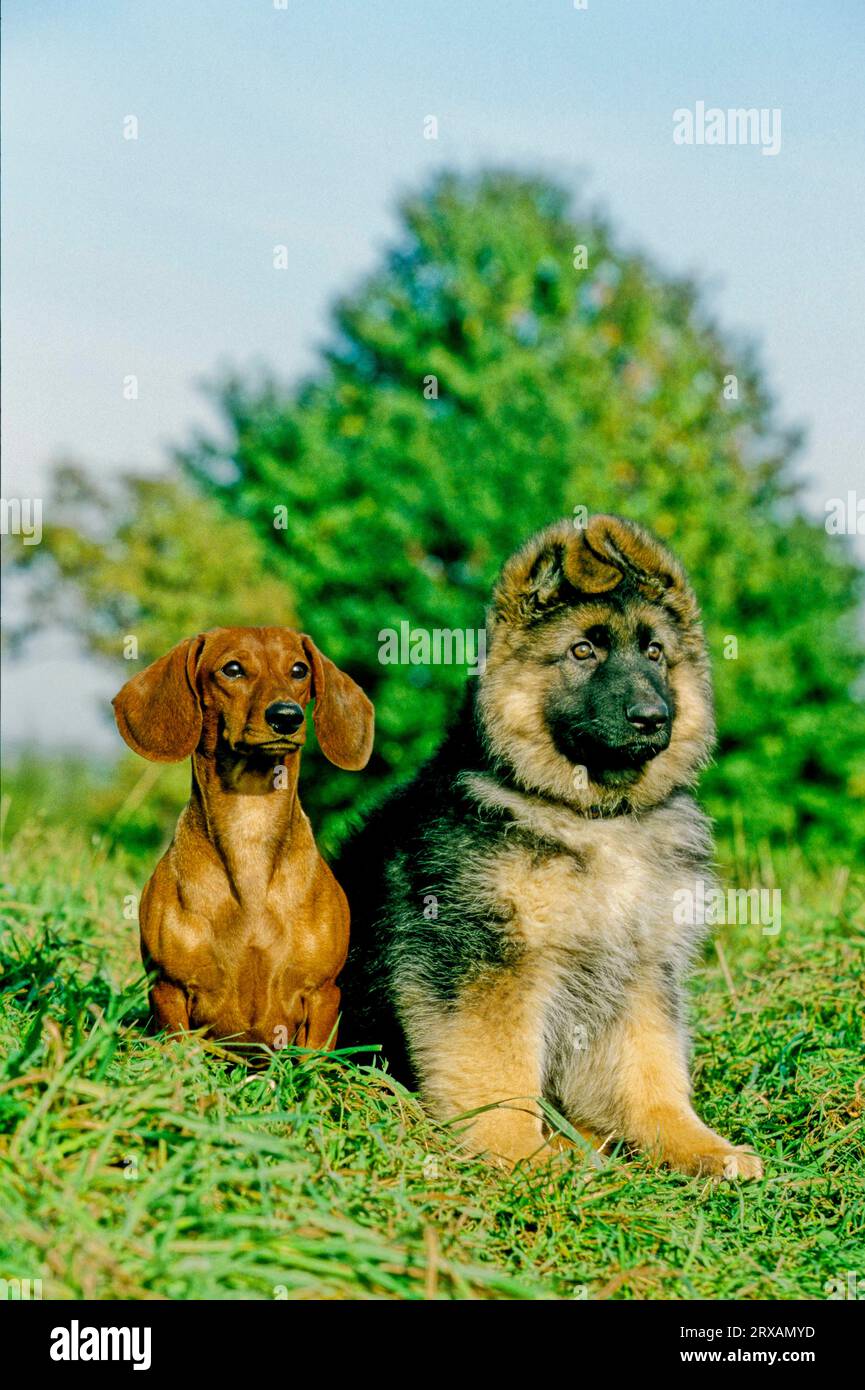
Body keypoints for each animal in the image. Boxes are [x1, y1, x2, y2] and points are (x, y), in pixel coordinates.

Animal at [339, 517, 767, 1178]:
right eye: (582, 651)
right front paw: (519, 1154)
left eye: (655, 653)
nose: (652, 716)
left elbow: (653, 1070)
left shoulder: (643, 969)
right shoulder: (485, 963)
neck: (594, 818)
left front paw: (692, 1145)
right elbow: (497, 1072)